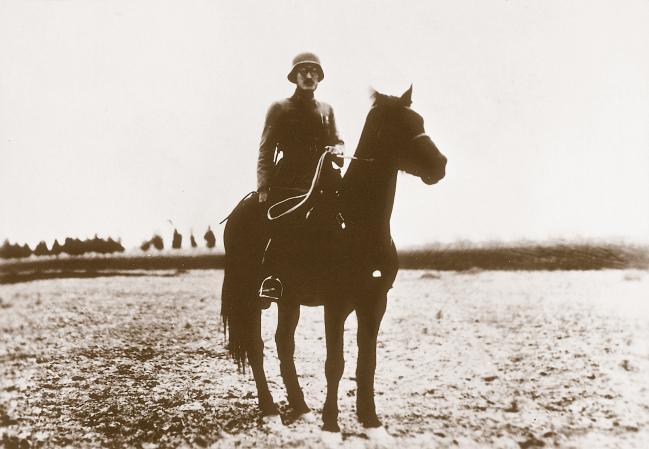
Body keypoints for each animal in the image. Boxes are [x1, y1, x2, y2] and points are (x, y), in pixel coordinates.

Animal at [220, 86, 448, 442]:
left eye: (419, 120)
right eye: (397, 126)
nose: (440, 164)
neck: (354, 221)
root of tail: (240, 211)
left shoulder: (374, 303)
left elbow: (367, 363)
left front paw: (370, 421)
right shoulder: (336, 305)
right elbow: (335, 363)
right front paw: (330, 424)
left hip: (289, 299)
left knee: (284, 344)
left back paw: (300, 406)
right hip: (251, 297)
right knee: (257, 349)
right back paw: (271, 411)